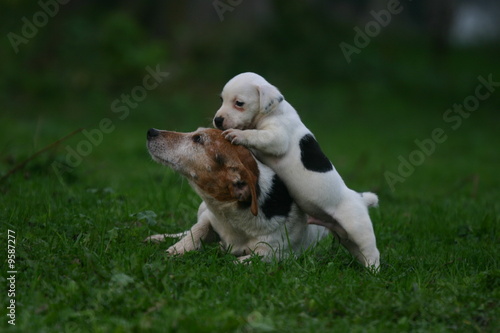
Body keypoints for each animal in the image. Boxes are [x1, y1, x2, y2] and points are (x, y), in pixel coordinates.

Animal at [144, 127, 328, 260]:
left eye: (198, 138)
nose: (151, 131)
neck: (233, 220)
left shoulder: (275, 252)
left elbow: (247, 260)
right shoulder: (209, 217)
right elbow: (196, 230)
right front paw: (177, 249)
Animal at [213, 72, 380, 268]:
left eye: (239, 103)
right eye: (222, 99)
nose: (217, 120)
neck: (272, 111)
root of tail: (360, 198)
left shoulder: (277, 137)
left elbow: (258, 135)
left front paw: (239, 135)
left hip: (358, 228)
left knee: (372, 251)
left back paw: (373, 271)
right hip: (347, 238)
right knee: (360, 252)